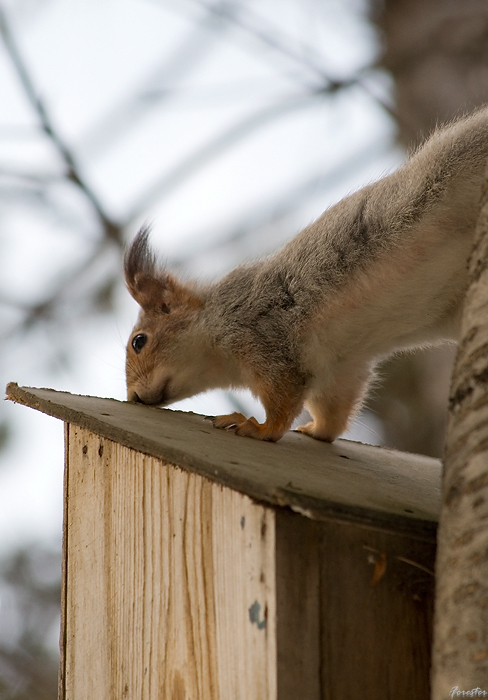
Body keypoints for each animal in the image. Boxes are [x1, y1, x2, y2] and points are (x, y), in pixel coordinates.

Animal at [124, 106, 488, 440]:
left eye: (139, 341)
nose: (134, 397)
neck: (216, 318)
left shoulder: (263, 336)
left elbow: (282, 399)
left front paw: (257, 427)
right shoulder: (341, 368)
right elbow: (334, 412)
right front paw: (315, 430)